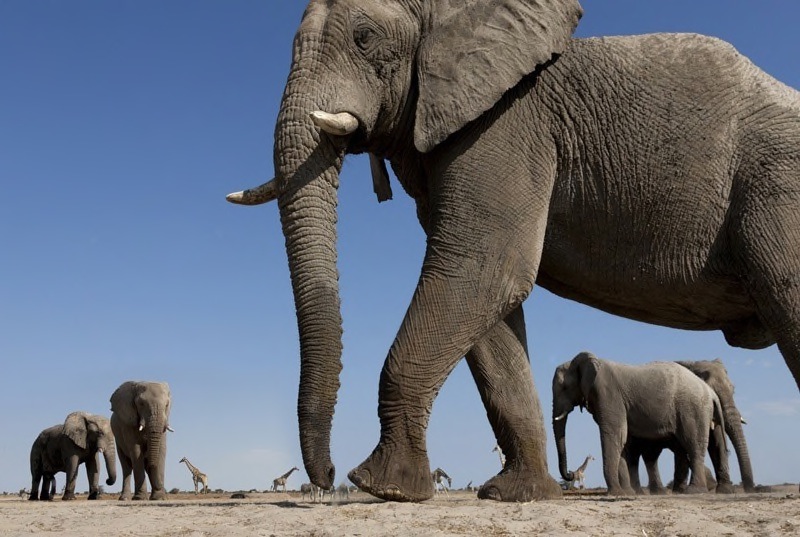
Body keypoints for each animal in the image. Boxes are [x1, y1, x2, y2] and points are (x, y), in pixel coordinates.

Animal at [552, 352, 728, 495]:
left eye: (564, 387)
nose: (571, 474)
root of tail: (711, 391)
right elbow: (622, 440)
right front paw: (627, 493)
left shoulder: (608, 395)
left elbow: (614, 435)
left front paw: (616, 494)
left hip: (693, 409)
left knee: (693, 445)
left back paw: (694, 491)